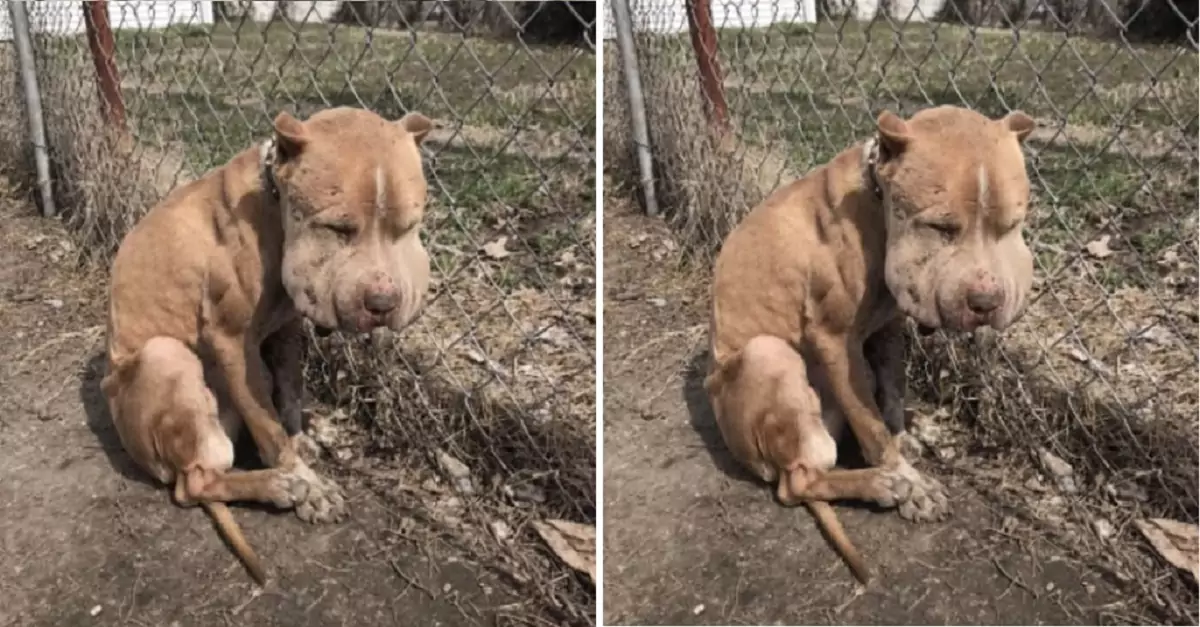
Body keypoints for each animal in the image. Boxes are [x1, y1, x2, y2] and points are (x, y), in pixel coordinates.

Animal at [100, 105, 434, 578]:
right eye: (338, 228)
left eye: (407, 228)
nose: (384, 302)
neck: (275, 205)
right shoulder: (233, 343)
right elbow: (269, 428)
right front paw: (308, 484)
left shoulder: (286, 329)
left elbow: (290, 392)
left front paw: (301, 437)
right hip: (164, 356)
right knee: (193, 485)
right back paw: (278, 486)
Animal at [705, 103, 1036, 581]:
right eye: (941, 227)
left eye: (1010, 226)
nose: (987, 301)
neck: (878, 203)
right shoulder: (835, 342)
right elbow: (872, 428)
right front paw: (910, 483)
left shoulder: (888, 327)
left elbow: (892, 391)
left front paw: (903, 435)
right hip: (767, 355)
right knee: (796, 483)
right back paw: (881, 484)